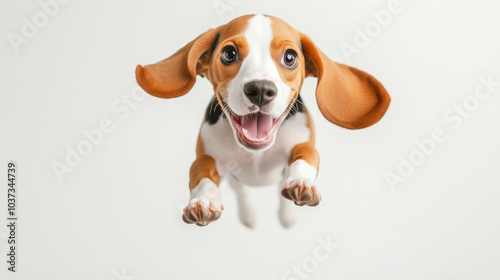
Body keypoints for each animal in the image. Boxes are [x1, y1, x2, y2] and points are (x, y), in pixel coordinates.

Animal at [136, 14, 390, 228]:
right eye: (229, 54)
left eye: (290, 57)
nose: (260, 90)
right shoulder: (206, 158)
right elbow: (201, 177)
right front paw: (202, 202)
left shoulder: (303, 143)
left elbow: (305, 158)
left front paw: (301, 182)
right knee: (242, 193)